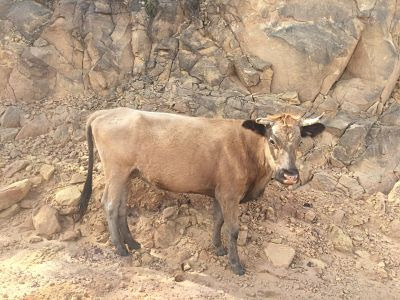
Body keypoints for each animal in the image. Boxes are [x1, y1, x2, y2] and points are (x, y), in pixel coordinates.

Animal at [76, 108, 324, 274]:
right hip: (116, 171)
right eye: (272, 140)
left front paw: (218, 248)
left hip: (128, 174)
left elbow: (218, 221)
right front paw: (235, 264)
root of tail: (105, 112)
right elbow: (233, 229)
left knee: (121, 206)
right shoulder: (229, 193)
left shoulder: (219, 192)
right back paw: (120, 248)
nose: (290, 174)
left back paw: (133, 243)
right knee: (109, 204)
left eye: (299, 142)